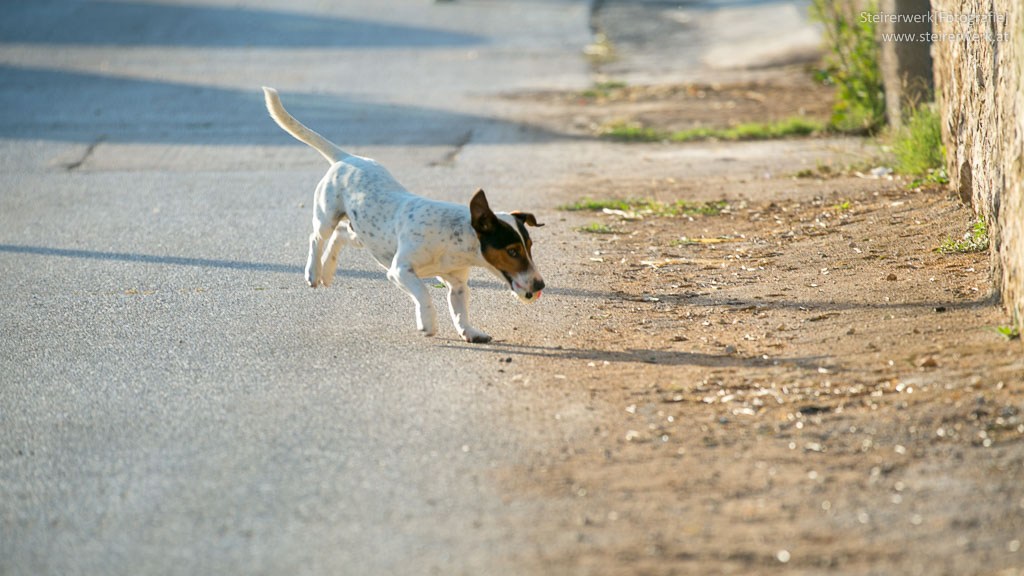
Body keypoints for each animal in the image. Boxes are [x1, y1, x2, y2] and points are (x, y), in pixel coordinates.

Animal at [262, 85, 544, 340]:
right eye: (512, 251)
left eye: (530, 246)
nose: (540, 285)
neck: (454, 239)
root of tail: (347, 157)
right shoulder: (400, 270)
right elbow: (424, 293)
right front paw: (427, 322)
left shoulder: (457, 285)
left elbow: (460, 312)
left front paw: (470, 332)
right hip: (326, 215)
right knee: (317, 238)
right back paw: (313, 272)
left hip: (366, 235)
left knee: (340, 235)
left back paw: (328, 271)